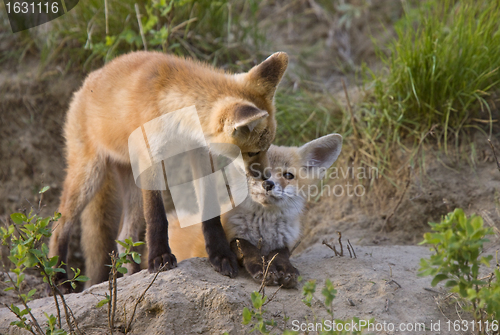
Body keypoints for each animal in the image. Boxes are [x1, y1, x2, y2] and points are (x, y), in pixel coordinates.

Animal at [49, 50, 290, 288]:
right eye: (253, 152)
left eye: (267, 147)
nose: (266, 178)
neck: (176, 122)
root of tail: (87, 83)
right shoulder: (151, 158)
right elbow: (157, 216)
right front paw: (159, 257)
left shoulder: (201, 154)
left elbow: (210, 213)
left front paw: (220, 255)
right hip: (89, 176)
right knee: (59, 226)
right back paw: (58, 278)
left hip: (132, 189)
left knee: (124, 237)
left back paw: (130, 275)